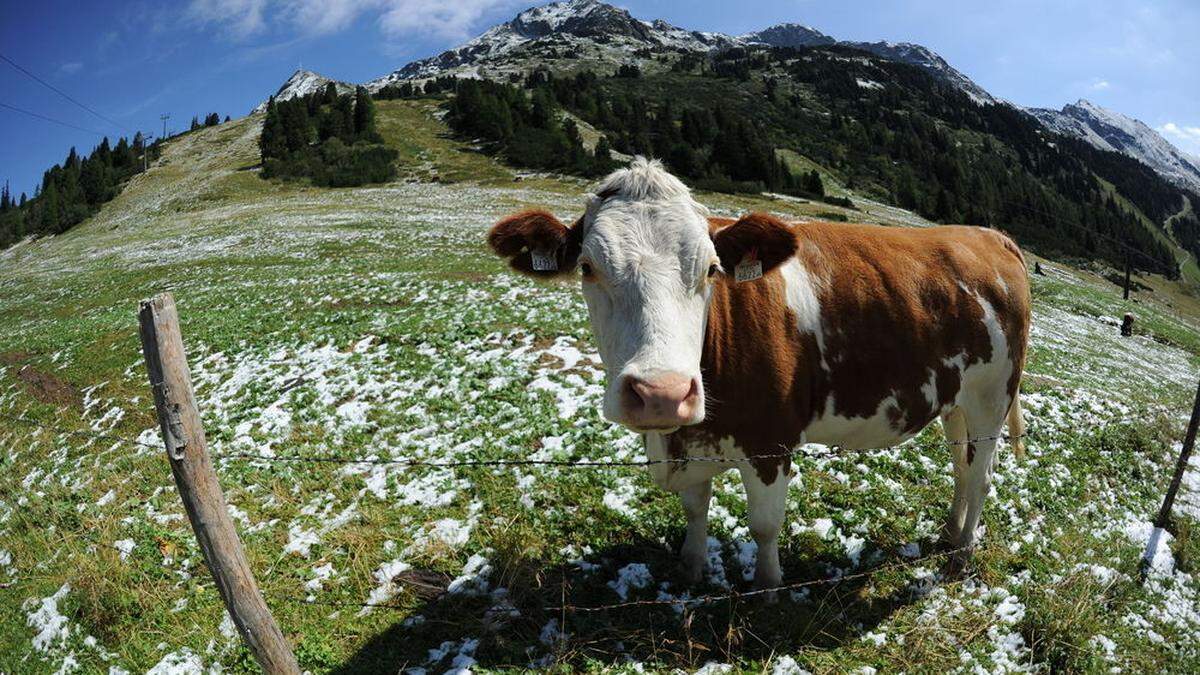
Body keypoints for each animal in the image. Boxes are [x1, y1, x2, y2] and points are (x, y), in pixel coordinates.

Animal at [487, 156, 1032, 583]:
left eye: (710, 269)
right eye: (587, 267)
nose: (662, 393)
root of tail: (988, 234)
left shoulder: (772, 439)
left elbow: (765, 525)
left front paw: (768, 589)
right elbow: (696, 508)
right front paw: (692, 569)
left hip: (993, 396)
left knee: (981, 474)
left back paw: (962, 553)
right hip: (955, 399)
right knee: (961, 465)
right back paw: (949, 532)